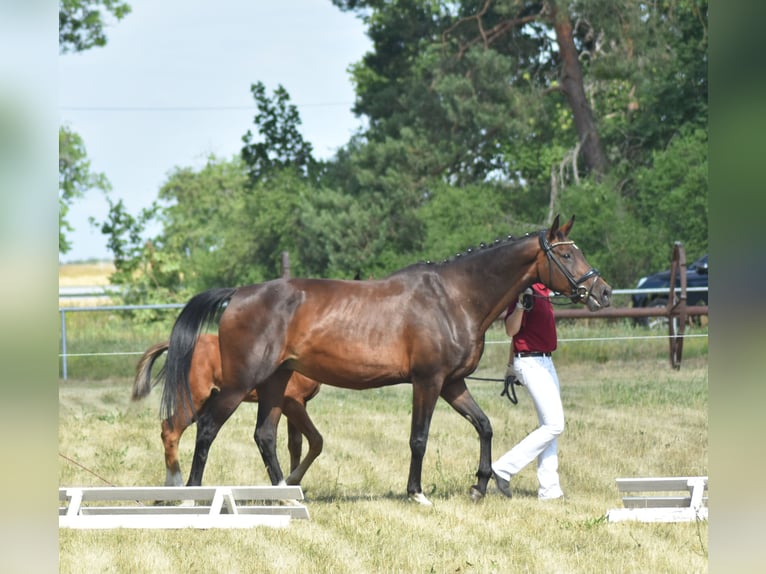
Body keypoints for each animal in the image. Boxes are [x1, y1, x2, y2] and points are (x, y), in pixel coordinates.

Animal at [132, 333, 323, 486]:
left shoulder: (299, 403)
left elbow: (295, 444)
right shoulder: (291, 402)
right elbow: (315, 440)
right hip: (194, 398)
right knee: (170, 430)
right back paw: (177, 486)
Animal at [160, 215, 611, 505]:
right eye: (566, 256)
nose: (602, 292)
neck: (454, 297)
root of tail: (238, 294)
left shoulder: (453, 383)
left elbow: (484, 426)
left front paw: (481, 486)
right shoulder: (428, 381)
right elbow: (419, 438)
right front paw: (417, 493)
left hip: (273, 382)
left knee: (264, 437)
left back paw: (286, 496)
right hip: (239, 384)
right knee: (206, 429)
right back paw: (195, 497)